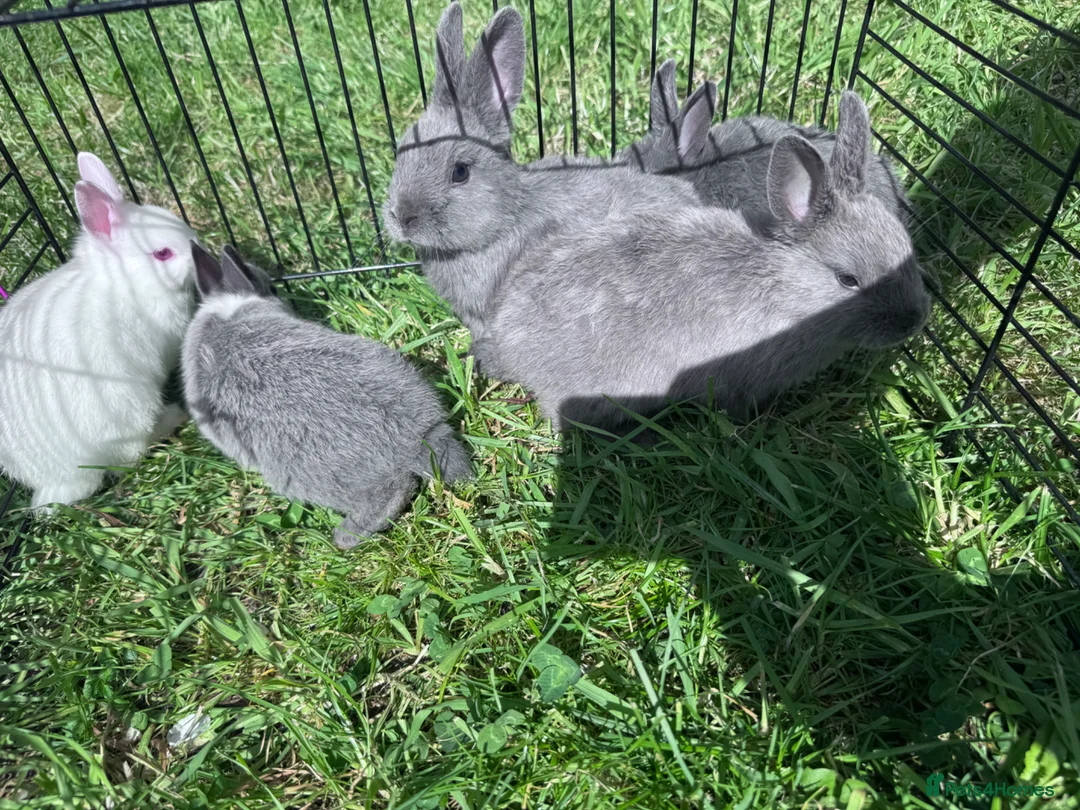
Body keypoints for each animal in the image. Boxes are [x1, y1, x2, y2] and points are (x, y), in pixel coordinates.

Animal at [0, 152, 197, 512]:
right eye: (163, 253)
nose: (200, 248)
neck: (124, 282)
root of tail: (59, 477)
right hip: (132, 409)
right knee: (131, 456)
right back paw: (174, 417)